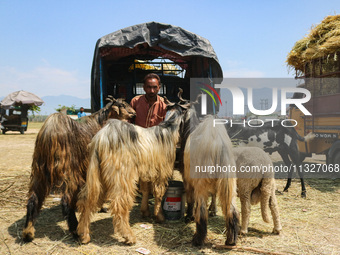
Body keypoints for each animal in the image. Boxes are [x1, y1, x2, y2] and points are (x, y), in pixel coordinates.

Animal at [20, 97, 135, 241]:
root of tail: (50, 131)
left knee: (33, 199)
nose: (133, 114)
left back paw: (28, 232)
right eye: (123, 105)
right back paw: (77, 232)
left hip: (39, 170)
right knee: (65, 200)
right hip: (68, 170)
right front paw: (101, 207)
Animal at [77, 99, 189, 245]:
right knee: (119, 203)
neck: (167, 130)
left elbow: (146, 190)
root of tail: (101, 139)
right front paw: (159, 216)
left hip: (96, 173)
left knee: (87, 199)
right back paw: (129, 236)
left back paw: (84, 235)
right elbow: (159, 193)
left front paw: (145, 212)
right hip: (121, 174)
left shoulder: (146, 172)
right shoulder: (162, 171)